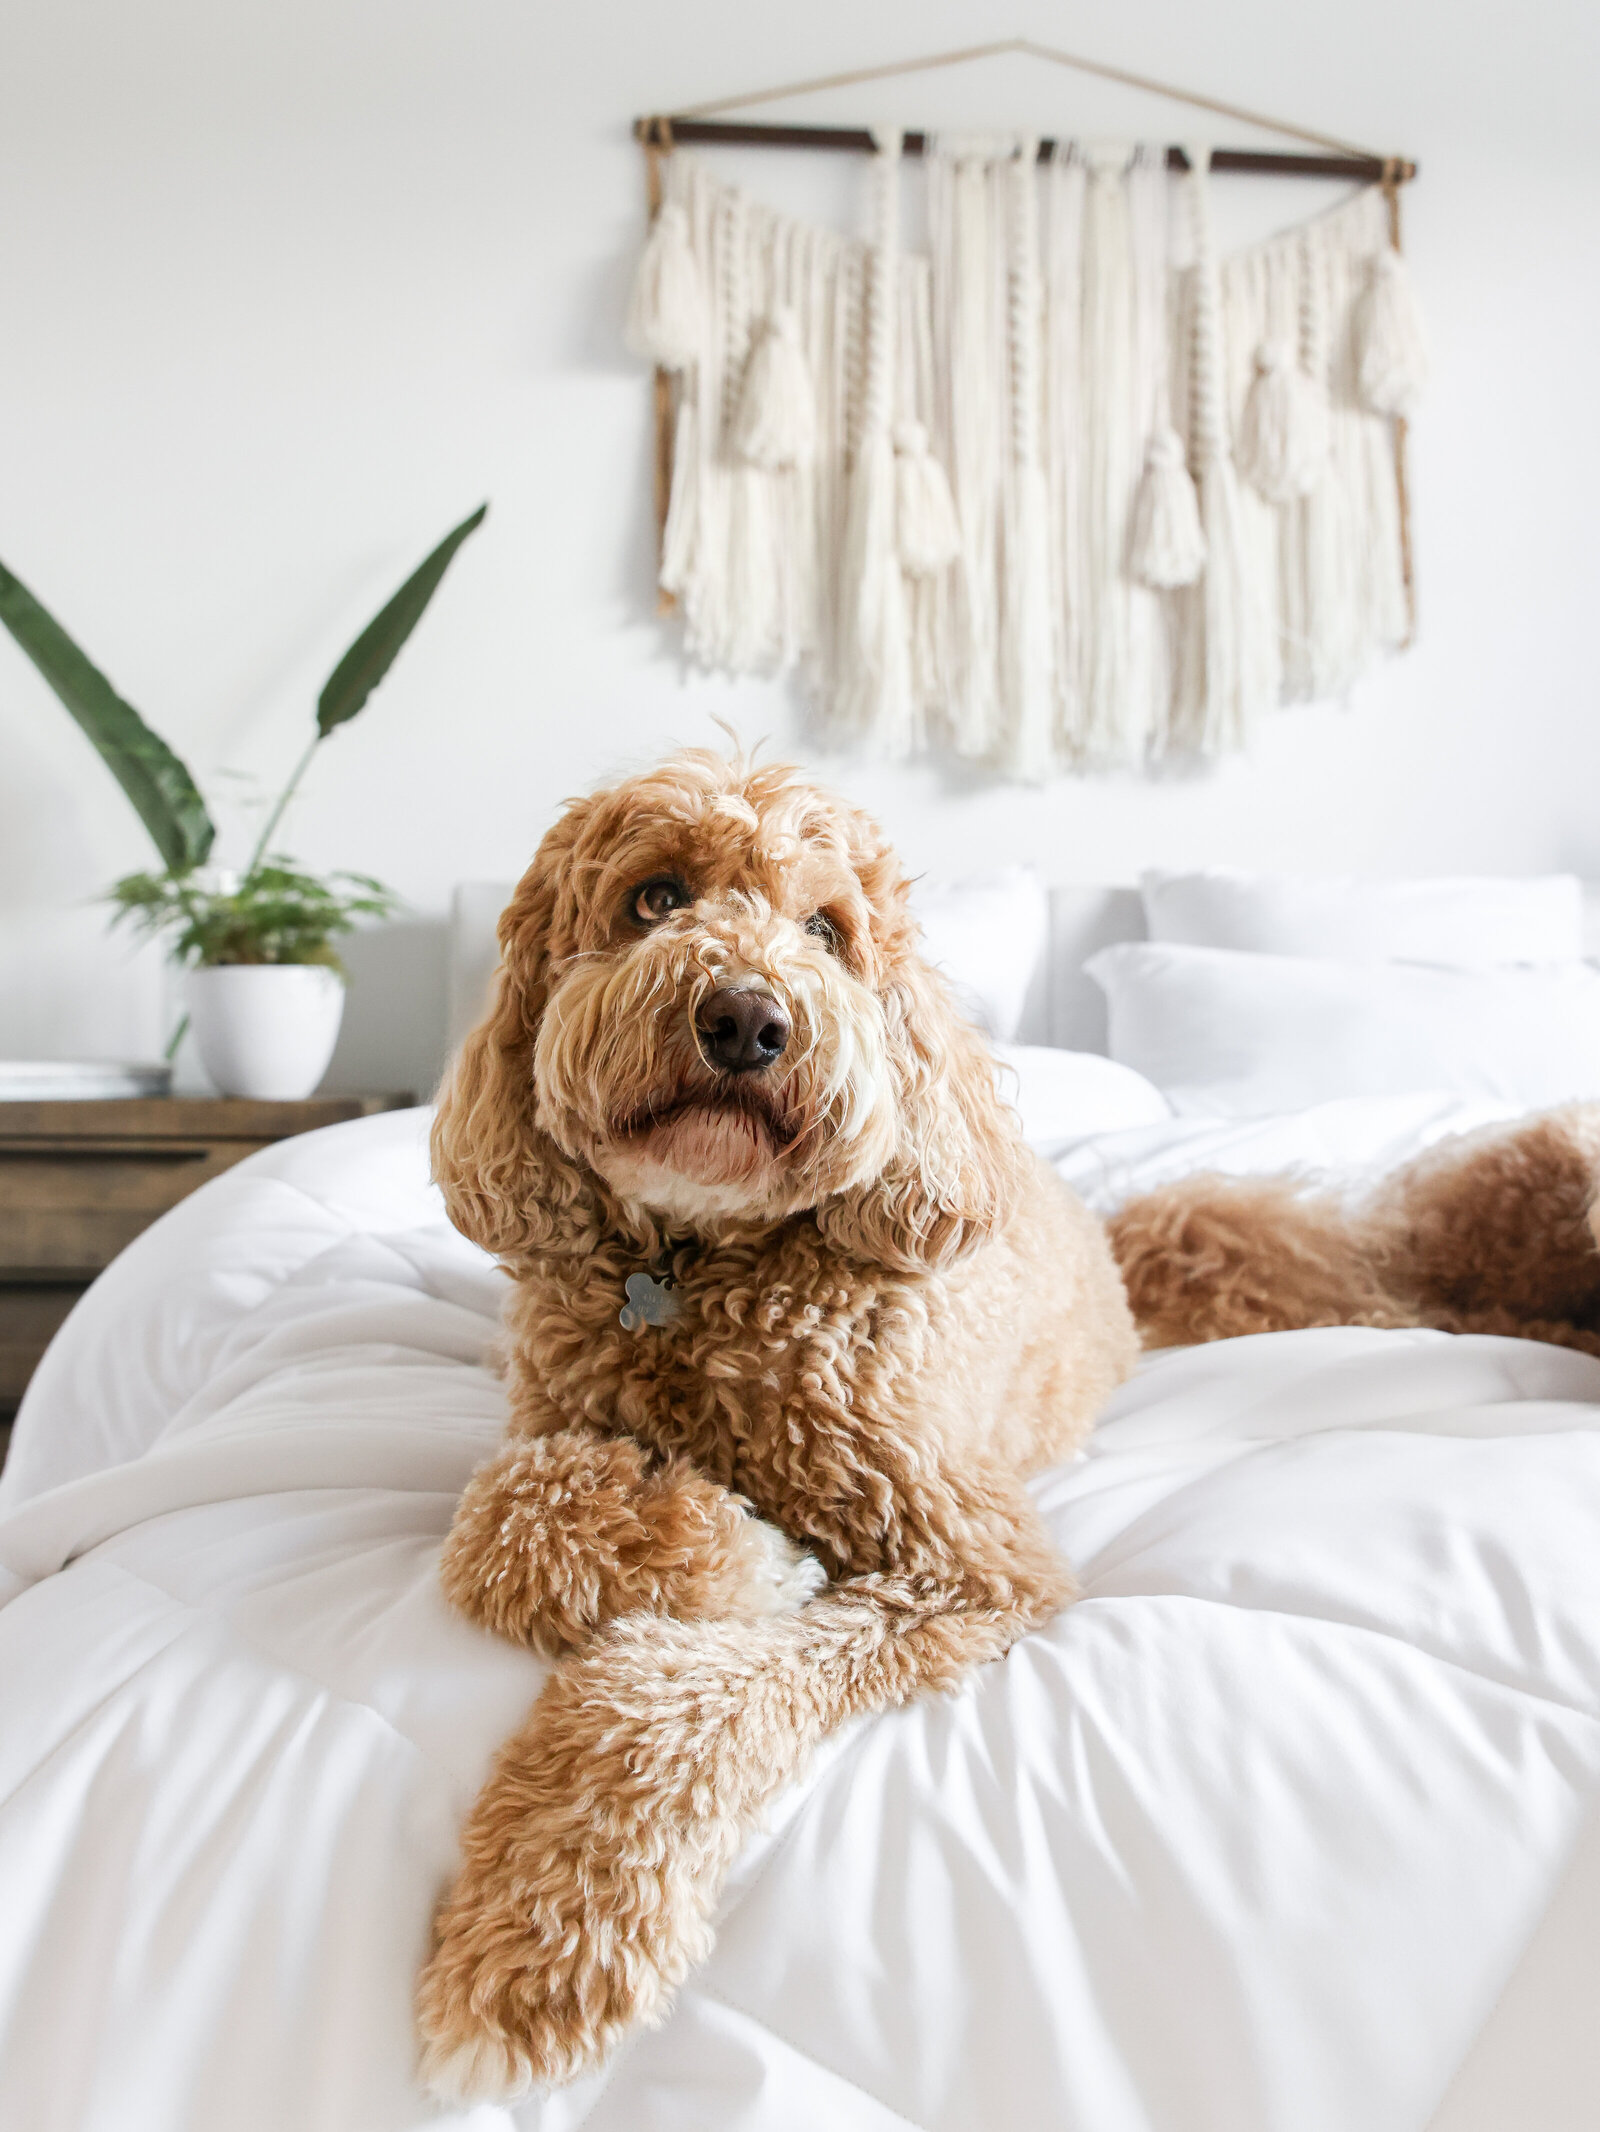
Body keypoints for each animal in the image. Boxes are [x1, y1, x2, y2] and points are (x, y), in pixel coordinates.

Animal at [413, 746, 1143, 2097]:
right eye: (655, 898)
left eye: (824, 928)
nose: (748, 1019)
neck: (701, 1262)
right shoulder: (541, 1424)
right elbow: (500, 1522)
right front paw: (725, 1546)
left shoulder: (968, 1564)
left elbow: (668, 1697)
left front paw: (540, 1950)